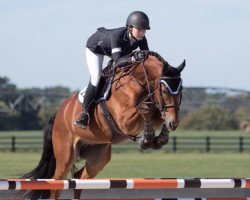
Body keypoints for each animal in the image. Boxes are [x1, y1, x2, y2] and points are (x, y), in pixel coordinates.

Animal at [18, 50, 186, 200]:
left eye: (181, 91)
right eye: (164, 90)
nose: (174, 123)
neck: (138, 81)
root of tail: (59, 112)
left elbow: (157, 114)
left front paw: (158, 138)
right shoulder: (124, 121)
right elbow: (146, 110)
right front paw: (146, 140)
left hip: (98, 157)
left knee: (79, 178)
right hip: (65, 155)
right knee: (56, 184)